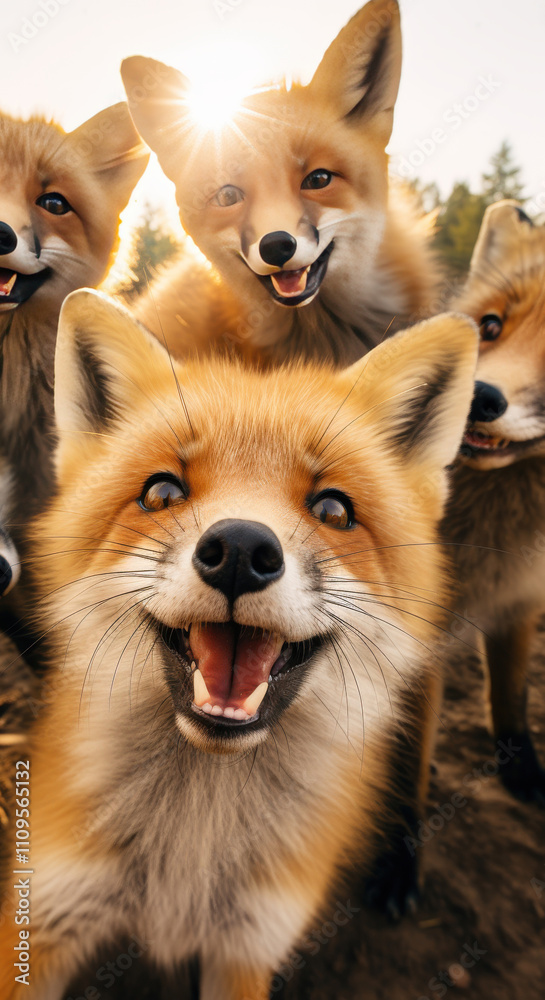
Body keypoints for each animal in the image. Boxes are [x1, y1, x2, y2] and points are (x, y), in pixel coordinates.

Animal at [0, 289, 477, 999]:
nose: (240, 552)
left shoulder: (247, 946)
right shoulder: (47, 918)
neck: (191, 839)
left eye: (333, 510)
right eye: (161, 492)